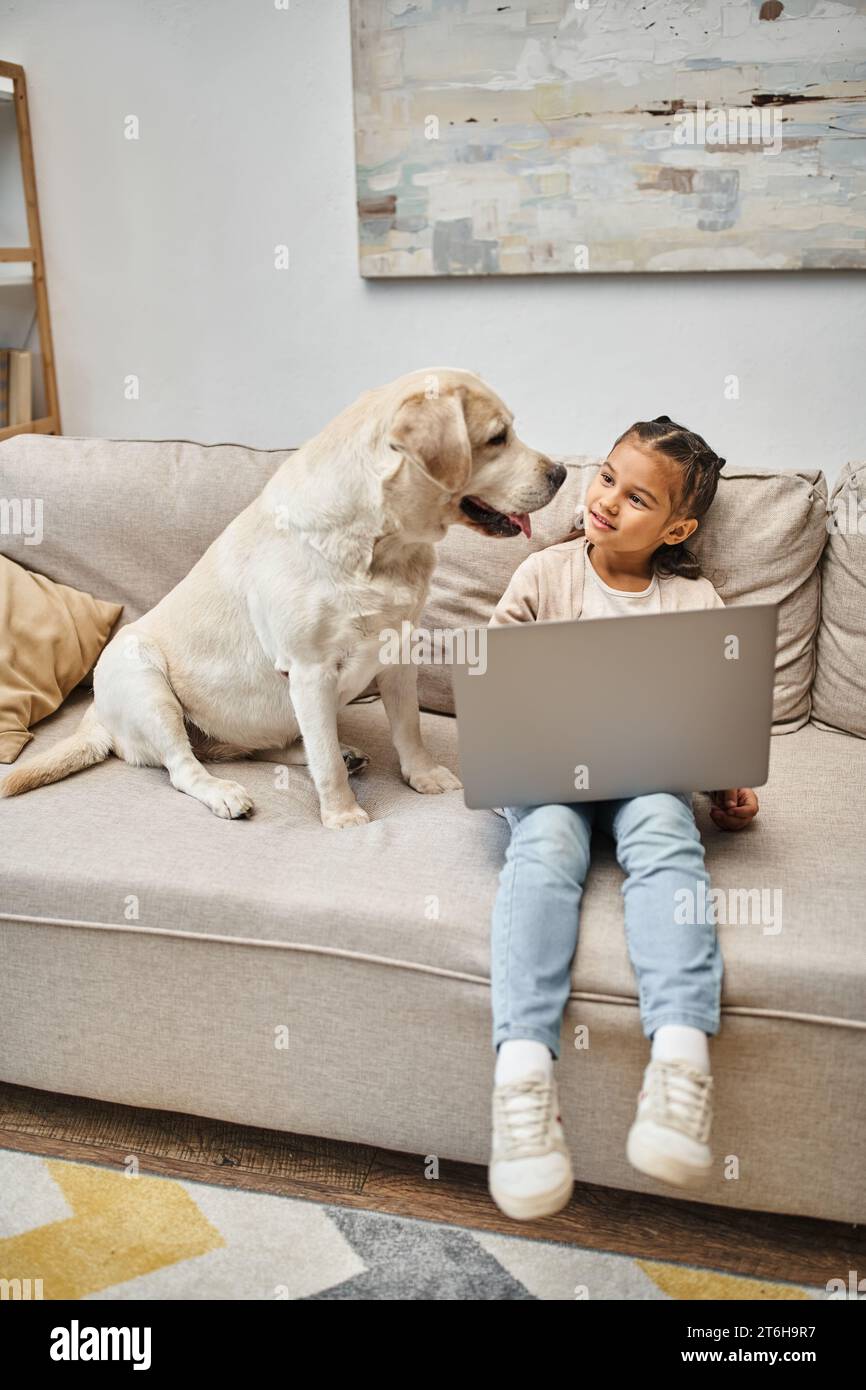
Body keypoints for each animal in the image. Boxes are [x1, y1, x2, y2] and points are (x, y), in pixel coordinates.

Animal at [0, 366, 567, 822]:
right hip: (143, 677)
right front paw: (342, 817)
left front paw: (423, 775)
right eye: (497, 438)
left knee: (271, 745)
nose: (561, 472)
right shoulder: (311, 670)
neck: (381, 545)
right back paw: (226, 792)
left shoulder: (398, 652)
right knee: (187, 766)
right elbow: (326, 764)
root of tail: (94, 718)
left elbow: (408, 729)